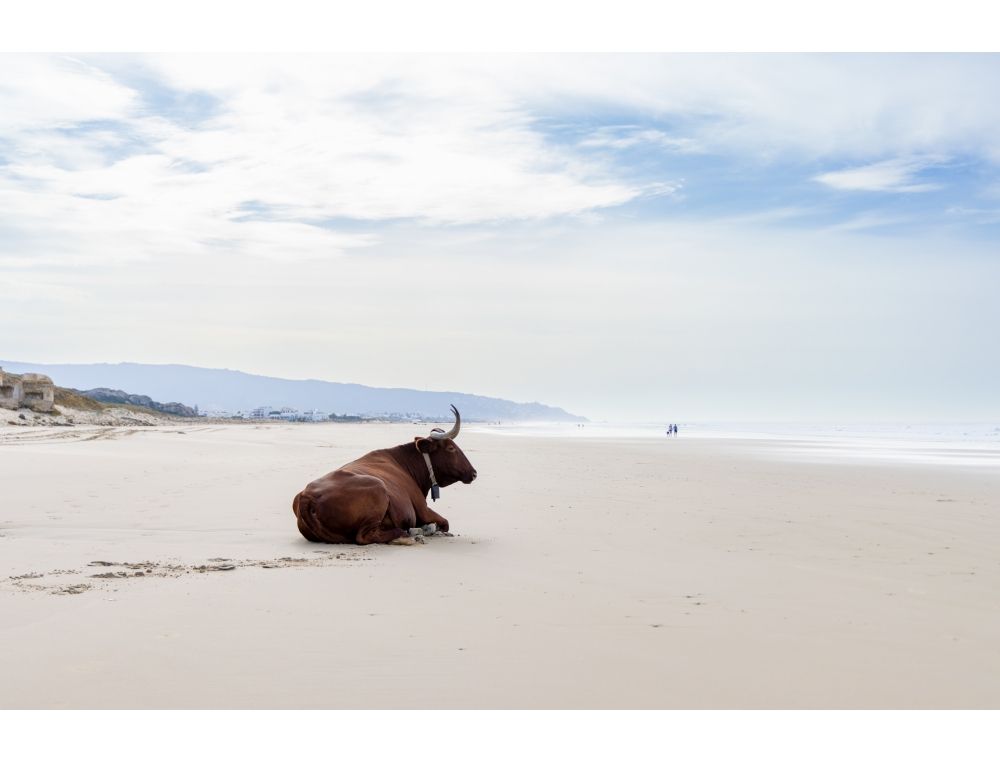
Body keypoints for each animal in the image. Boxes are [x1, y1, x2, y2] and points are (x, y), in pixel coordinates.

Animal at [292, 405, 477, 545]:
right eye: (451, 448)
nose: (474, 472)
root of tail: (307, 495)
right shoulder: (422, 509)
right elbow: (445, 523)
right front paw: (429, 528)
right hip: (378, 489)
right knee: (365, 536)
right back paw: (407, 534)